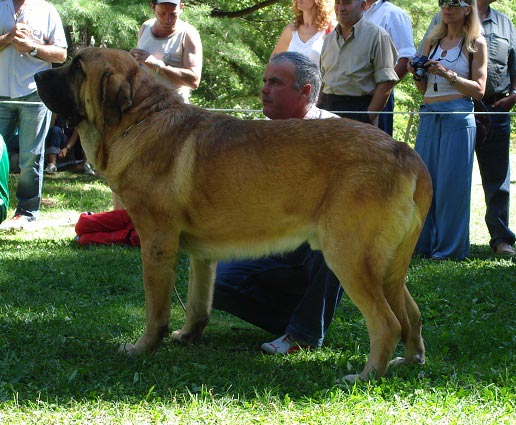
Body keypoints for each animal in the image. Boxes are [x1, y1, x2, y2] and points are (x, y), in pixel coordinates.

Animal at [34, 47, 434, 380]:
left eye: (77, 67)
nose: (37, 75)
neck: (139, 119)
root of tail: (405, 152)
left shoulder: (157, 244)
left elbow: (155, 310)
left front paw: (142, 348)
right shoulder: (202, 254)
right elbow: (198, 303)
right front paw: (188, 336)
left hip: (347, 255)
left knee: (386, 323)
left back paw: (366, 376)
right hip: (387, 267)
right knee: (411, 315)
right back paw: (410, 360)